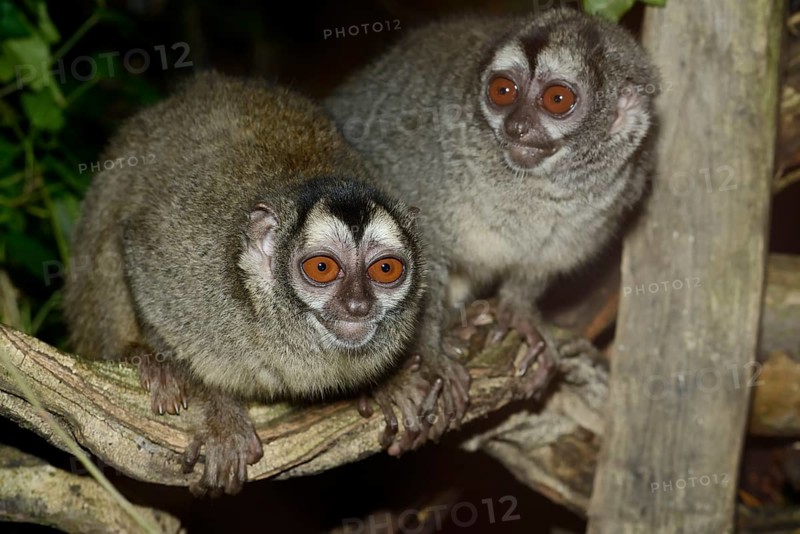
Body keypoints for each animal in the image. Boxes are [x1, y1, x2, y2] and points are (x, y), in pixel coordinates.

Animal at [63, 71, 467, 495]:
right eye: (322, 267)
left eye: (385, 269)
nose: (358, 305)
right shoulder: (188, 268)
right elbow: (136, 257)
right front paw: (210, 402)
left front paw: (388, 383)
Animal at [326, 8, 658, 400]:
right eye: (503, 91)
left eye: (557, 99)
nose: (516, 127)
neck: (533, 185)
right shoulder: (416, 165)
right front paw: (429, 354)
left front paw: (519, 312)